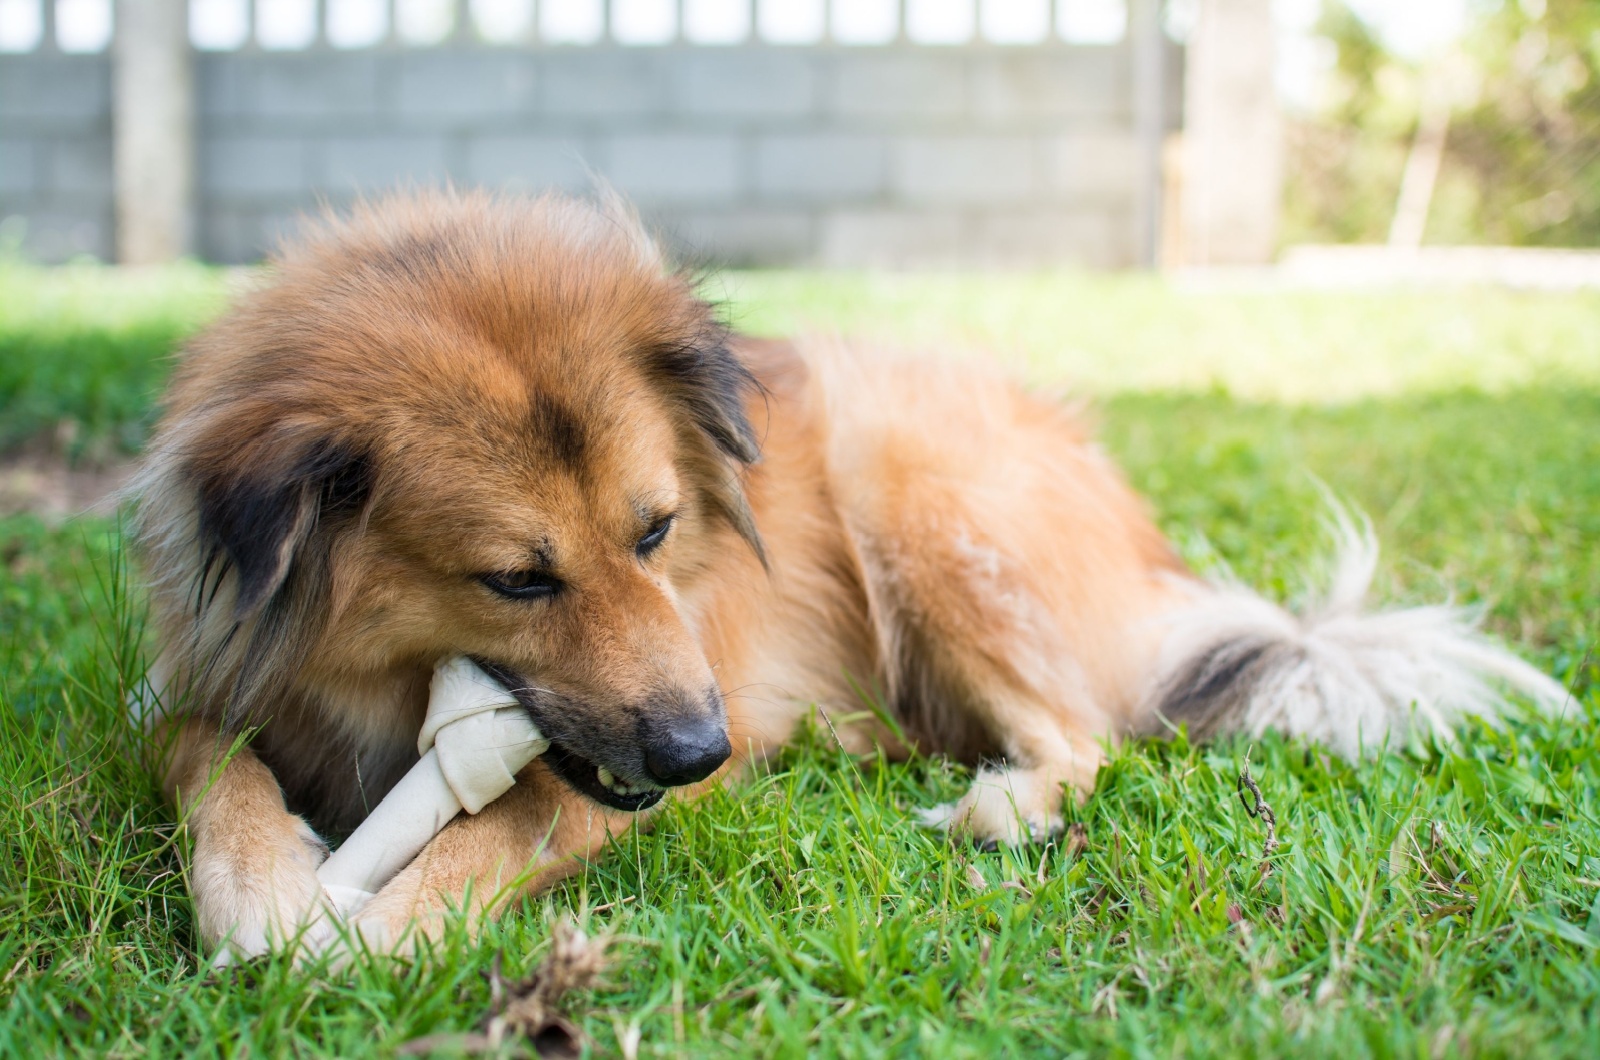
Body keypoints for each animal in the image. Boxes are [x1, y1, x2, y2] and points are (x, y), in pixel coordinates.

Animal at [134, 191, 1561, 960]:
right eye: (517, 580)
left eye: (655, 532)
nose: (700, 751)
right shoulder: (200, 679)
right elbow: (204, 753)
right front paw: (263, 883)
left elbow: (520, 812)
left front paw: (370, 926)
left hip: (907, 474)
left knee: (1088, 734)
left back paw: (999, 805)